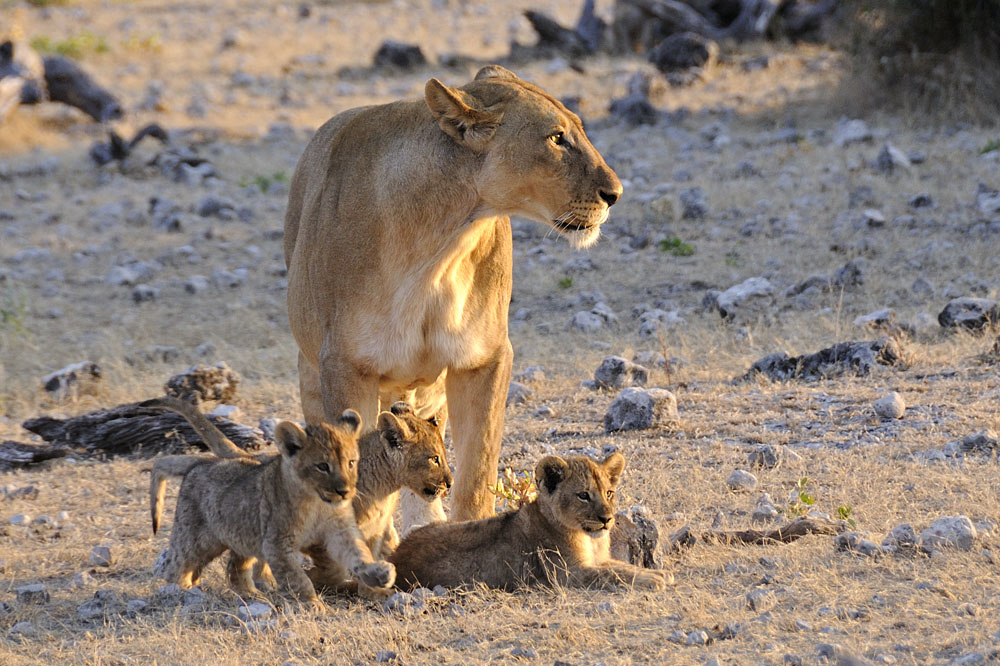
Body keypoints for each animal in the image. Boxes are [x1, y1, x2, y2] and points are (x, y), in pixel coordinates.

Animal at [144, 396, 450, 598]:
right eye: (434, 458)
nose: (450, 482)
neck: (384, 488)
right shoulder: (322, 535)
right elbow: (332, 568)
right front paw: (318, 582)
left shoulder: (371, 533)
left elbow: (366, 559)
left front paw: (374, 594)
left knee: (239, 563)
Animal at [283, 65, 623, 528]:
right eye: (557, 138)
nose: (616, 193)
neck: (440, 243)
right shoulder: (345, 366)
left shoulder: (484, 360)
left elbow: (476, 474)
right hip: (311, 371)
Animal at [388, 453, 669, 591]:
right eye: (583, 495)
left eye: (609, 493)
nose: (607, 519)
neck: (589, 539)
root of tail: (396, 558)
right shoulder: (570, 575)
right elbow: (613, 574)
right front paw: (656, 580)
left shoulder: (596, 561)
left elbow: (621, 567)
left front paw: (656, 573)